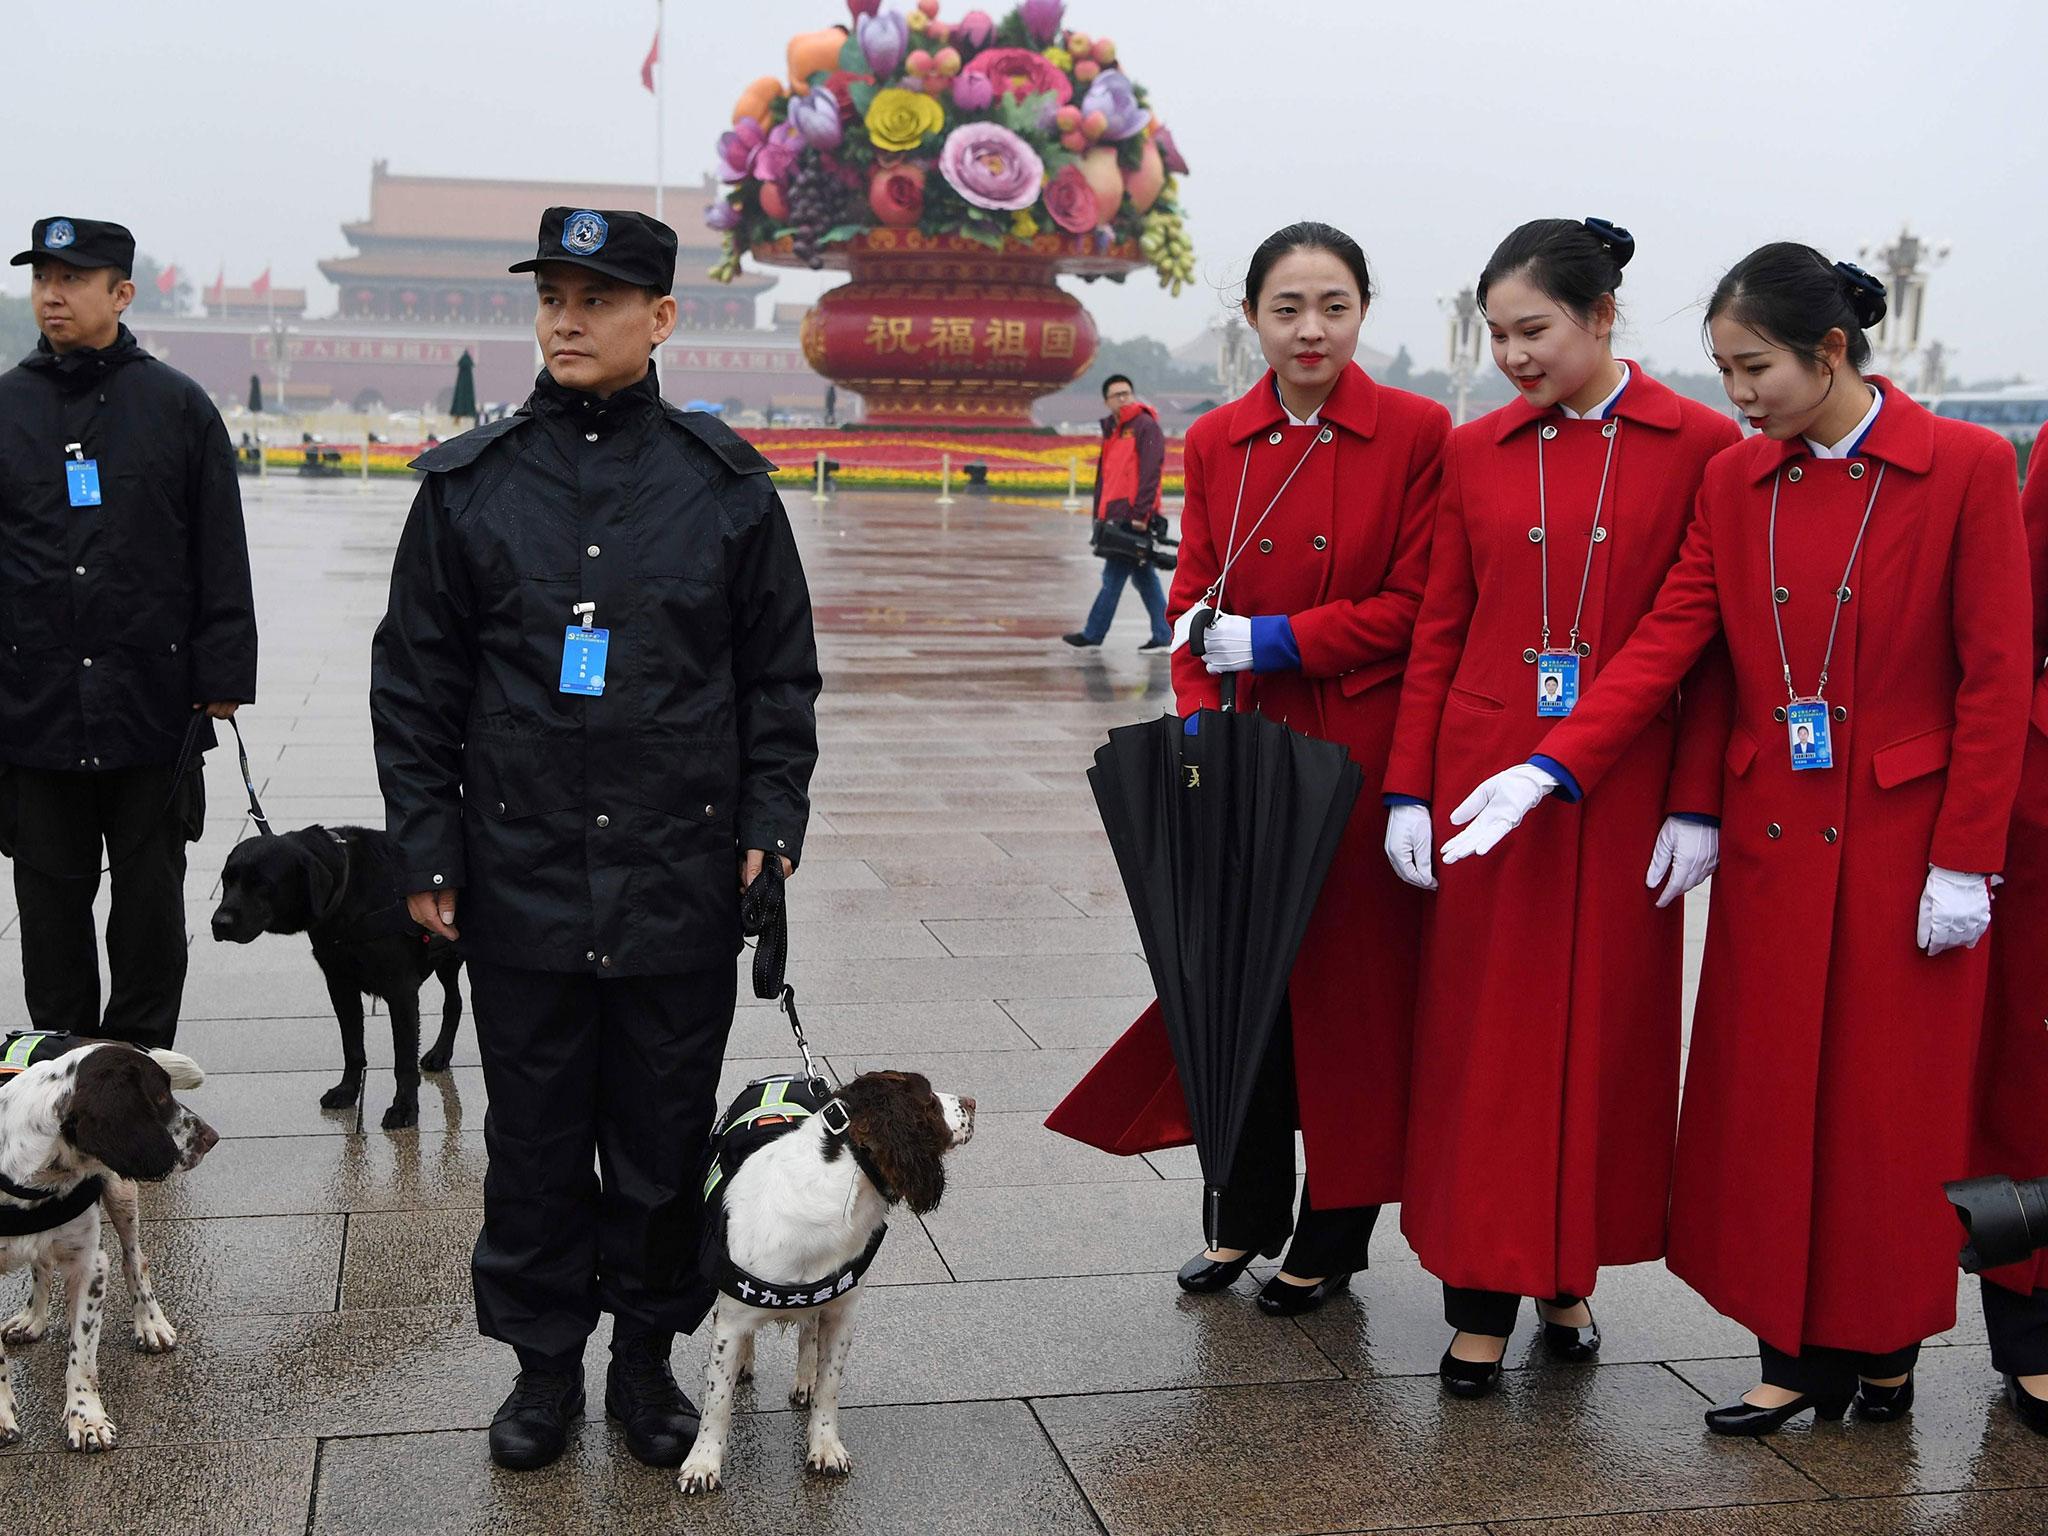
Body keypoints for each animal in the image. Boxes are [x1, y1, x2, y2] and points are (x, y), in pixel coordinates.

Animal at [0, 1040, 216, 1449]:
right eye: (160, 1097)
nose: (212, 1138)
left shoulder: (91, 1265)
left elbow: (82, 1356)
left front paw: (86, 1419)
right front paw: (2, 1417)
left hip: (121, 1190)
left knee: (135, 1259)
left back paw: (150, 1323)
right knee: (41, 1265)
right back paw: (33, 1318)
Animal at [208, 831, 464, 1130]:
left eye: (261, 883)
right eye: (226, 881)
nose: (219, 923)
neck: (349, 893)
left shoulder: (401, 990)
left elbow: (404, 1061)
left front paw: (404, 1108)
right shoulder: (340, 985)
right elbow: (352, 1048)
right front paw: (348, 1091)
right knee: (455, 1002)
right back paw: (441, 1053)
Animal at [679, 1073, 974, 1499]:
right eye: (929, 1099)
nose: (972, 1102)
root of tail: (783, 1077)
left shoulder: (841, 1309)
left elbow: (828, 1384)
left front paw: (825, 1447)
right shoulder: (732, 1317)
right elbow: (717, 1400)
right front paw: (702, 1464)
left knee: (808, 1333)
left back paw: (804, 1378)